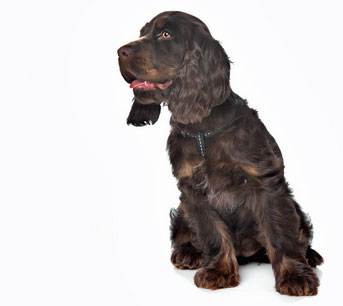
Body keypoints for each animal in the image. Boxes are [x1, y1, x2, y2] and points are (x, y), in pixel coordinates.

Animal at [117, 10, 324, 296]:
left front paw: (295, 276)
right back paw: (188, 254)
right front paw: (219, 271)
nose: (120, 51)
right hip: (181, 209)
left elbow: (280, 231)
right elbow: (212, 233)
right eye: (142, 33)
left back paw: (311, 255)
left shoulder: (266, 183)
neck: (202, 128)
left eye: (165, 34)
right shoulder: (192, 190)